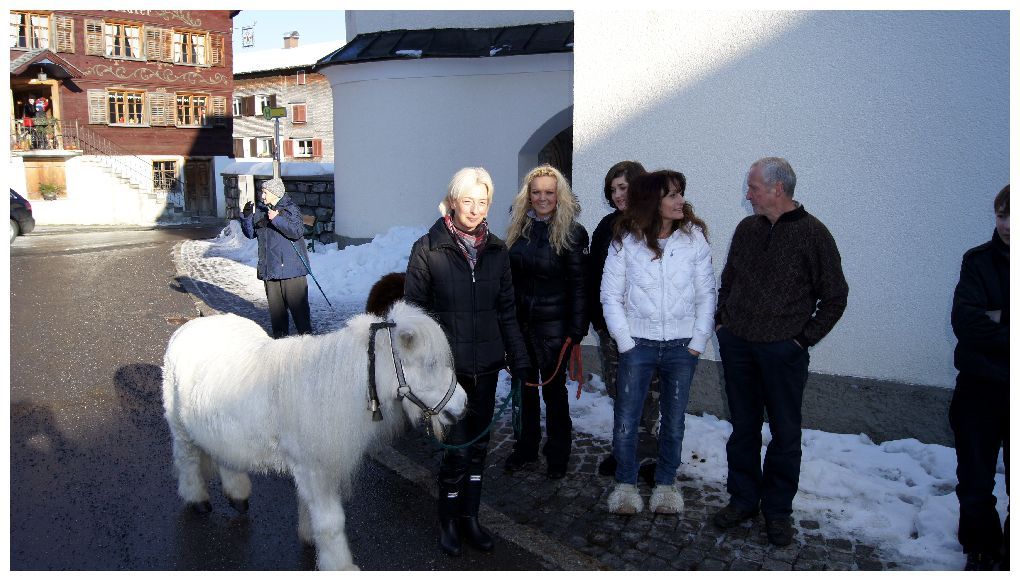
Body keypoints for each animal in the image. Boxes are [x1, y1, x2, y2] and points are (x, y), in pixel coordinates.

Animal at [161, 300, 467, 570]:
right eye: (430, 364)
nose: (463, 405)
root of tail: (191, 325)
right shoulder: (316, 469)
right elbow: (332, 522)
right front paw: (341, 567)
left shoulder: (312, 469)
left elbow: (310, 508)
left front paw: (310, 539)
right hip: (179, 426)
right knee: (186, 459)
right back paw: (197, 500)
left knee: (224, 457)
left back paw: (237, 495)